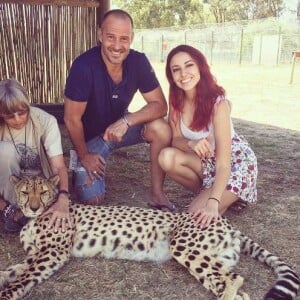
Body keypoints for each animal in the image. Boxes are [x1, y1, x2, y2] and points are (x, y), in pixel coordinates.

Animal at [0, 176, 298, 300]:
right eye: (25, 192)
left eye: (43, 192)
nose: (33, 207)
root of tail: (222, 219)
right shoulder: (36, 253)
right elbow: (14, 269)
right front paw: (5, 277)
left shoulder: (53, 253)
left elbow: (25, 277)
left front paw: (8, 293)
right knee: (233, 287)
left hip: (183, 245)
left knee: (235, 278)